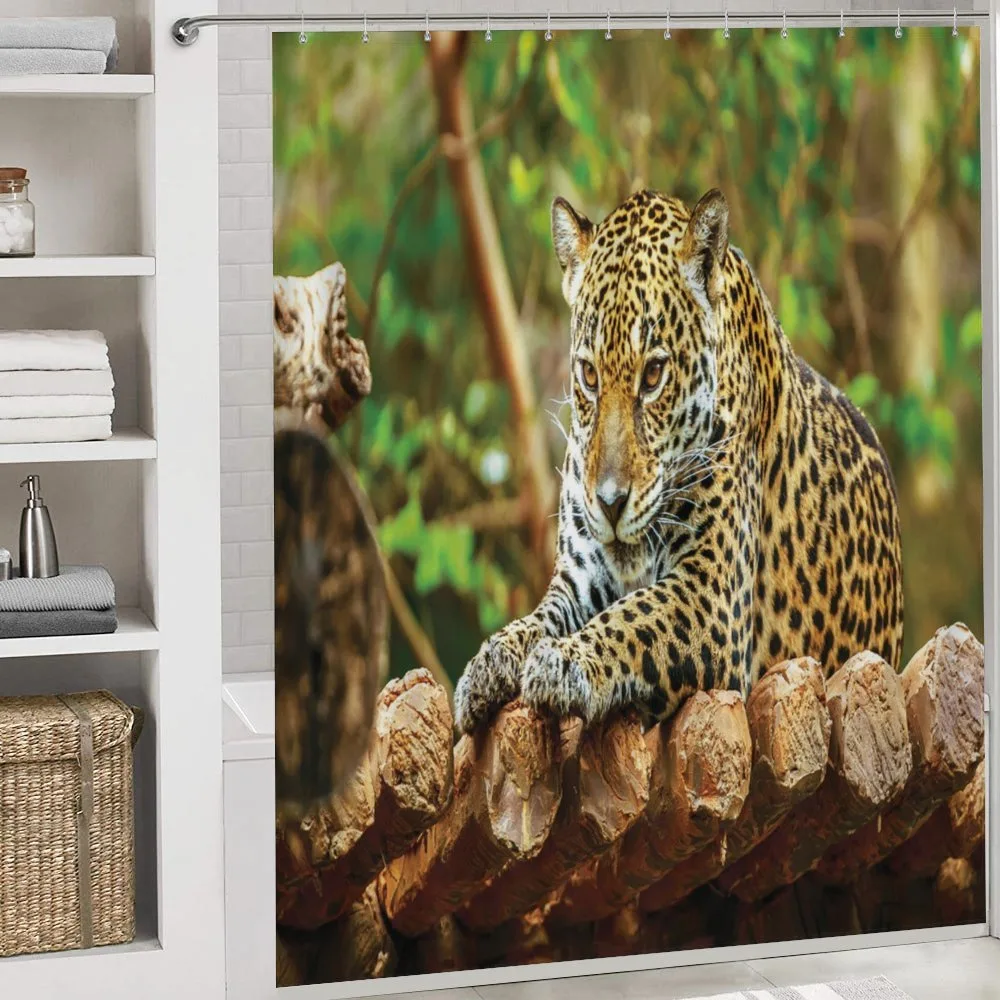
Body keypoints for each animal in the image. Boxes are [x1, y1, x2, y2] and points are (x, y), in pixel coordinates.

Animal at [453, 187, 903, 734]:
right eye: (587, 375)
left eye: (653, 375)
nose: (610, 502)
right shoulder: (579, 579)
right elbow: (538, 620)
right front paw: (488, 662)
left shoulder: (710, 594)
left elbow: (633, 617)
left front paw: (564, 661)